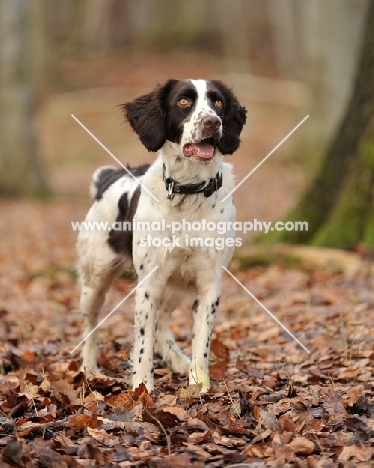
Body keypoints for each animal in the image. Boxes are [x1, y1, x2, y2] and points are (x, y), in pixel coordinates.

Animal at [77, 77, 247, 392]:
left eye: (218, 102)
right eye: (183, 101)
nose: (212, 122)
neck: (189, 192)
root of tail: (109, 176)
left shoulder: (209, 282)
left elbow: (201, 341)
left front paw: (198, 384)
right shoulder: (149, 281)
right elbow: (143, 341)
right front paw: (142, 387)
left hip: (178, 283)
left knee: (163, 319)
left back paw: (176, 359)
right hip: (95, 278)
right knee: (90, 325)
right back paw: (89, 368)